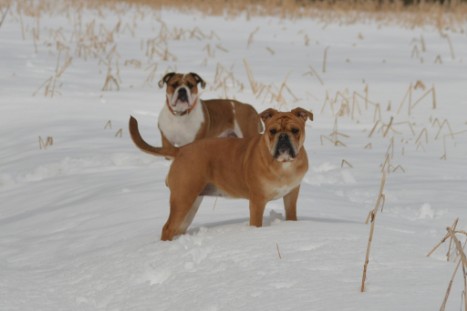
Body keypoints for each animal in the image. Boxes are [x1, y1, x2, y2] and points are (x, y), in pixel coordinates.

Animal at [129, 107, 314, 241]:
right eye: (272, 131)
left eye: (295, 130)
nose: (283, 137)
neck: (284, 164)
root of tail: (181, 150)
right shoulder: (257, 201)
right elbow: (256, 223)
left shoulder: (291, 195)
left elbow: (291, 215)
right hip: (183, 198)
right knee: (167, 228)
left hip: (191, 203)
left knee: (176, 228)